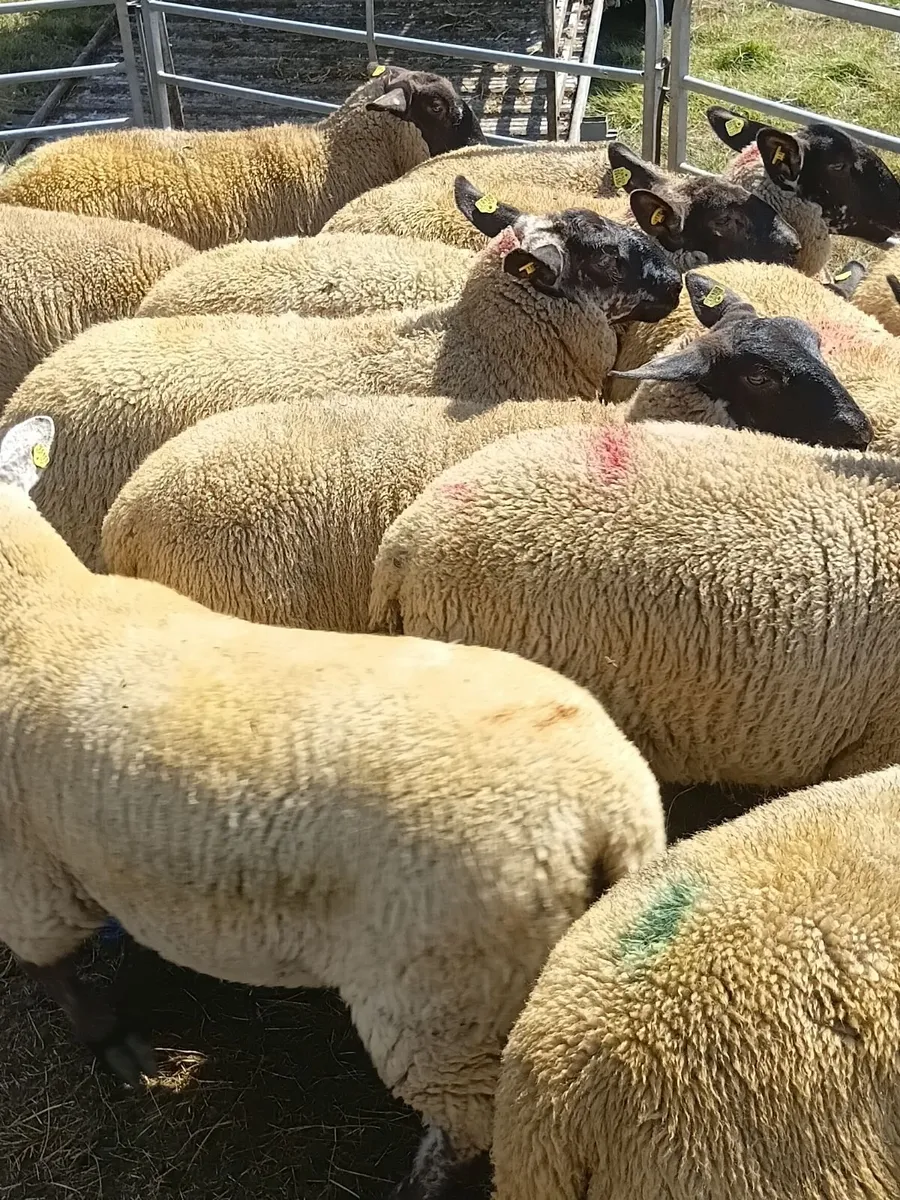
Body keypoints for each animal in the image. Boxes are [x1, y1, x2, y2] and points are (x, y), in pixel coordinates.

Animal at [0, 413, 665, 1200]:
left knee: (465, 1129)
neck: (38, 606)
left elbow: (53, 972)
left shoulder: (27, 870)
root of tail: (607, 809)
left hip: (444, 1000)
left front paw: (115, 1044)